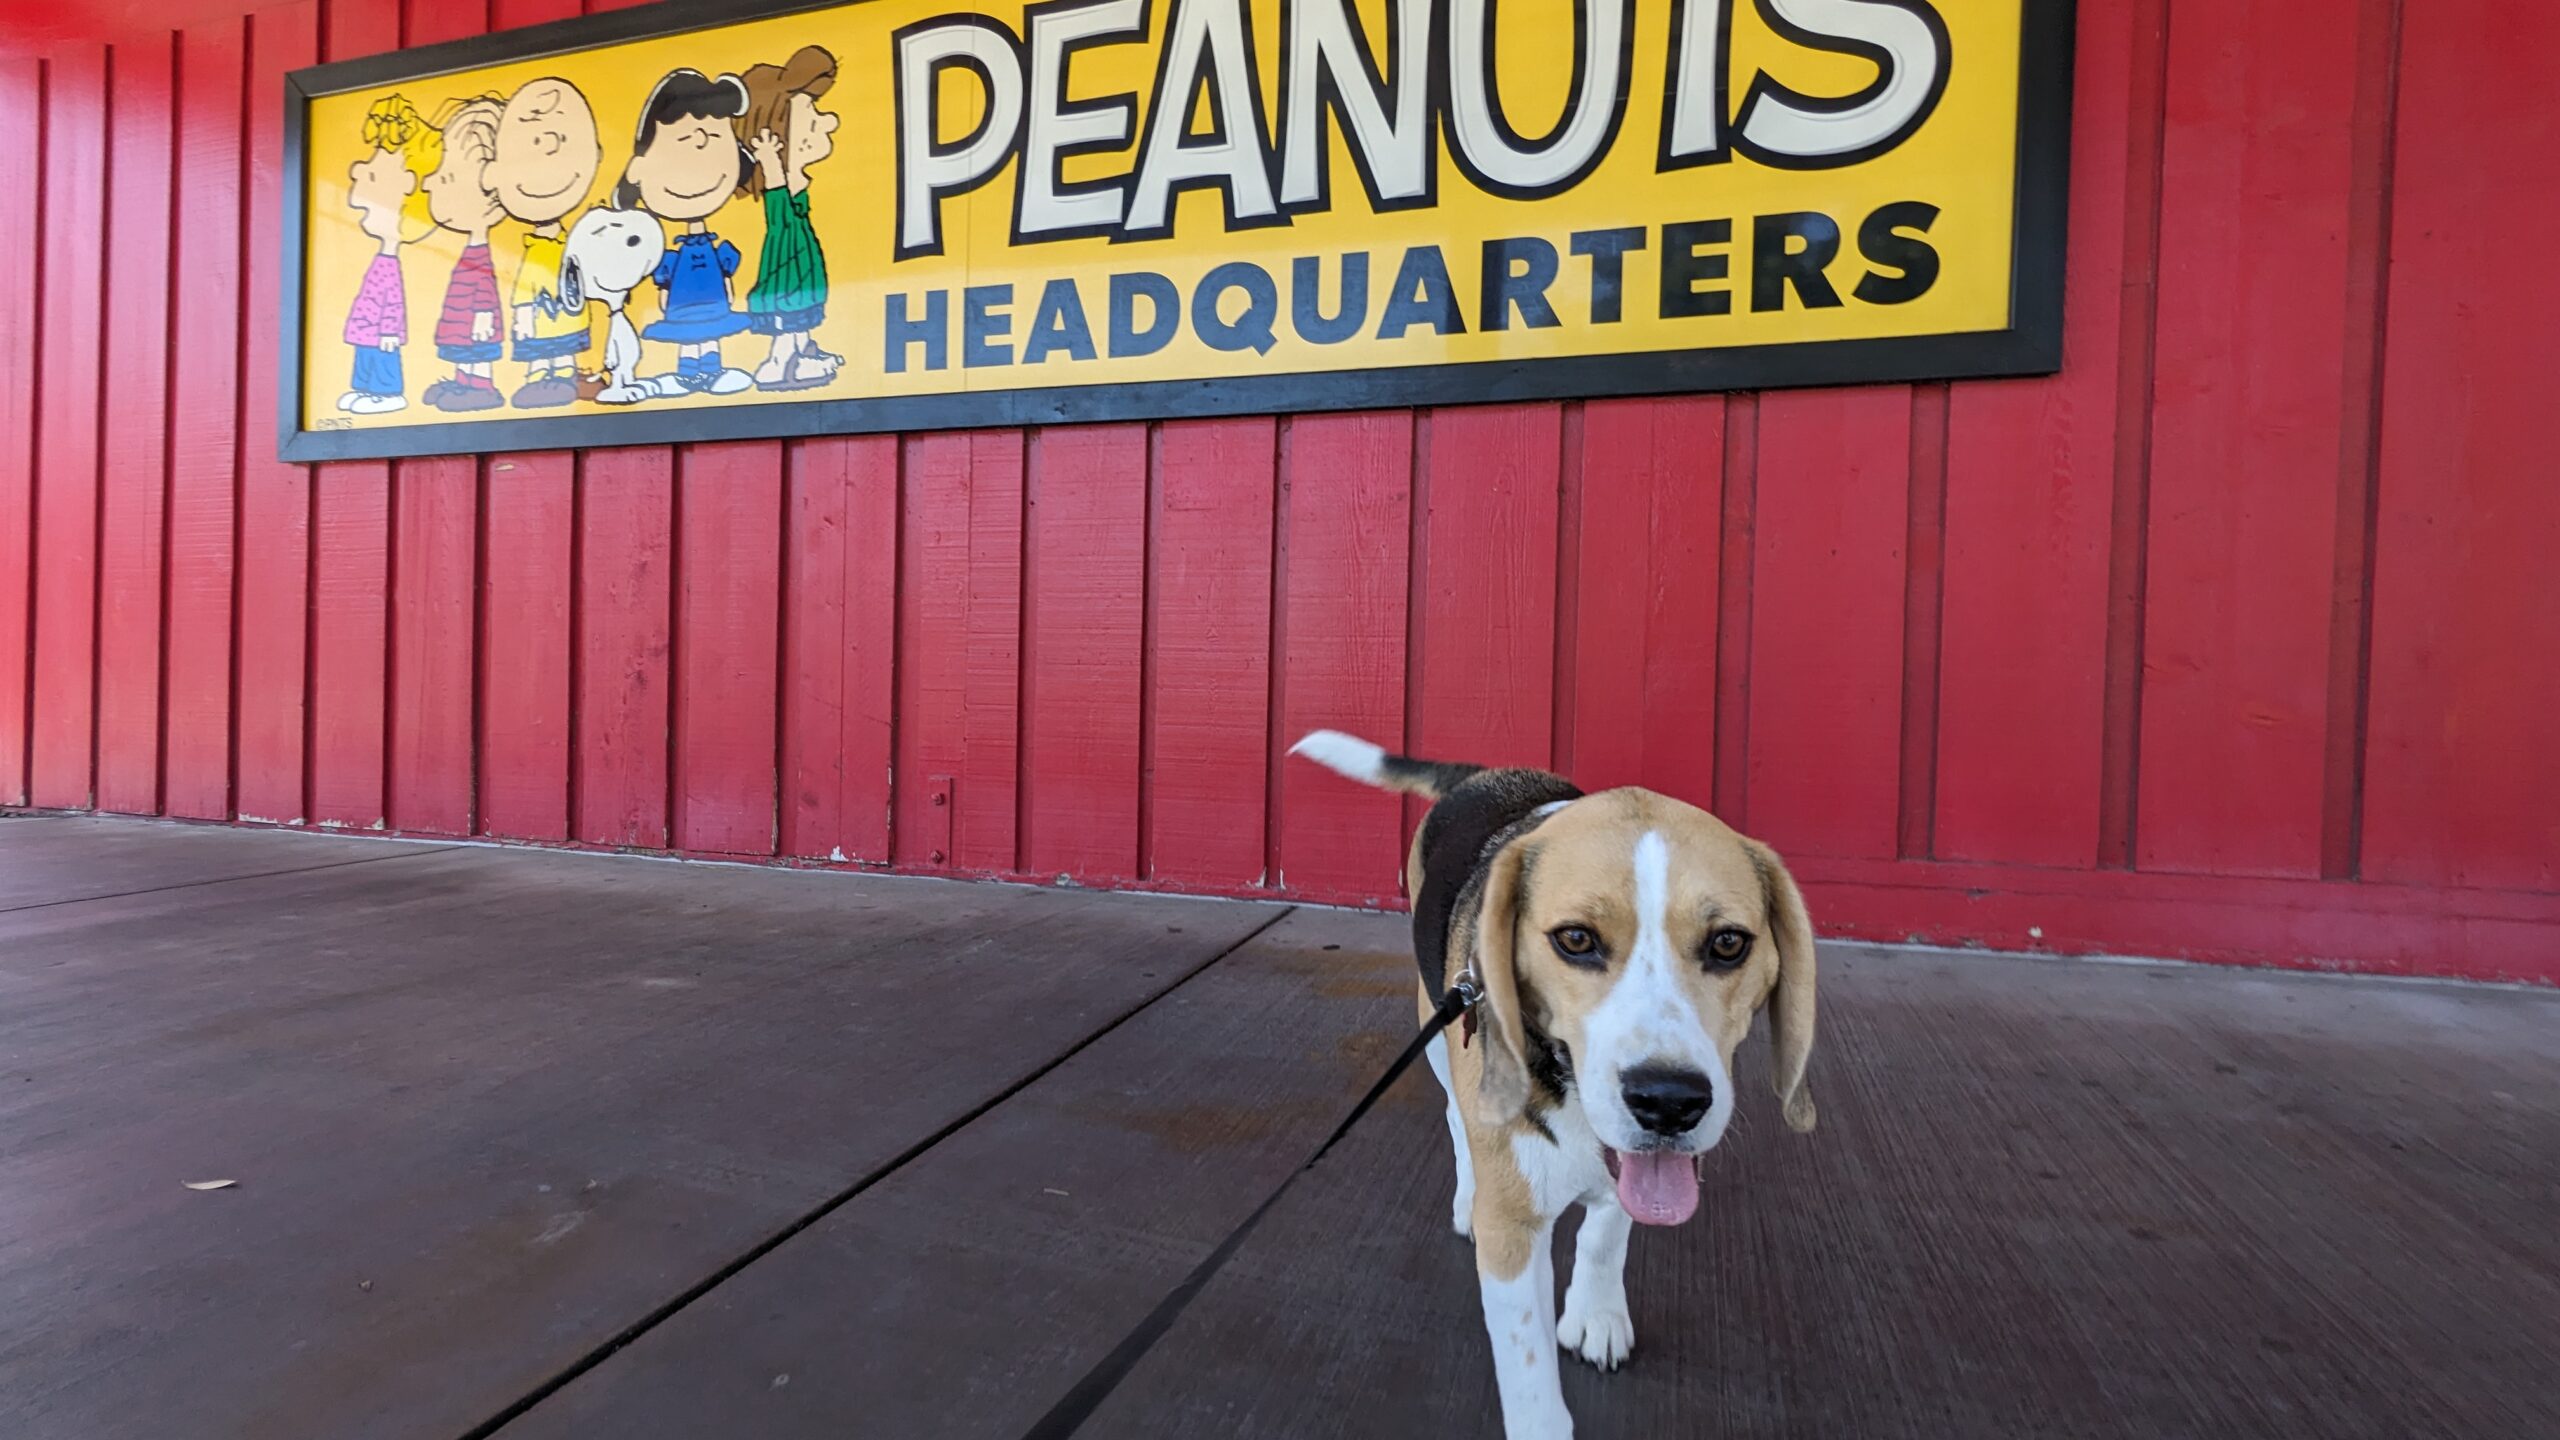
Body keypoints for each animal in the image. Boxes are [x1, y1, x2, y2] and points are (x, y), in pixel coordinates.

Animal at [1290, 727, 1812, 1434]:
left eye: (1729, 943)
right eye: (1575, 940)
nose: (1669, 1103)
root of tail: (1483, 775)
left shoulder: (1627, 1169)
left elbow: (1605, 1233)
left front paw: (1595, 1314)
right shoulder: (1512, 1232)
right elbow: (1527, 1361)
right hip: (1437, 1020)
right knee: (1457, 1117)